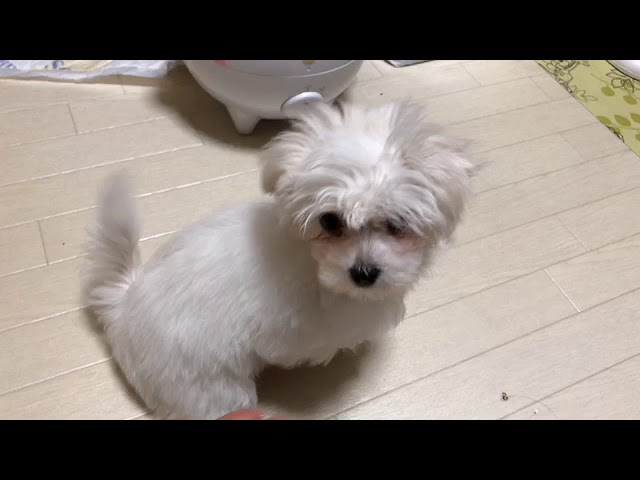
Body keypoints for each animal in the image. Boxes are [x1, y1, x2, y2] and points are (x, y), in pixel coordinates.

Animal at [85, 100, 475, 419]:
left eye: (398, 223)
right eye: (330, 221)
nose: (363, 273)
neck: (315, 261)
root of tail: (123, 307)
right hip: (209, 390)